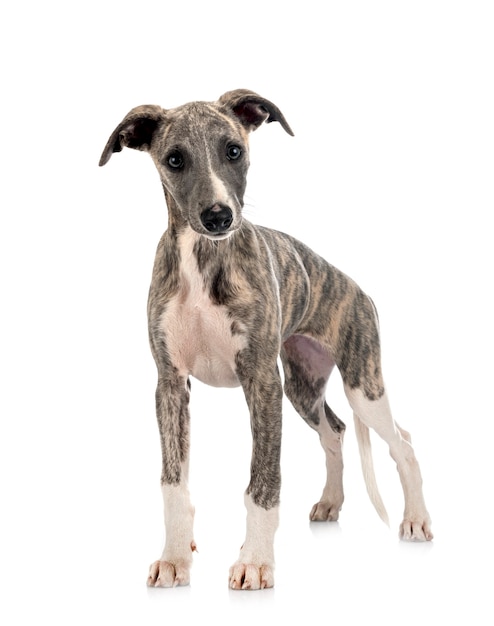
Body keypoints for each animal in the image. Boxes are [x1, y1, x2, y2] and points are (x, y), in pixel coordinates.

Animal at [98, 89, 430, 588]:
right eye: (174, 159)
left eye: (234, 150)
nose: (219, 217)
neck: (203, 261)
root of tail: (359, 290)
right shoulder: (170, 384)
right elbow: (173, 482)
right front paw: (175, 557)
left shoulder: (261, 383)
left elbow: (263, 483)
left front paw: (254, 561)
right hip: (303, 387)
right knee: (335, 431)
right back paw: (330, 502)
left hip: (361, 383)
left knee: (403, 441)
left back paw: (416, 519)